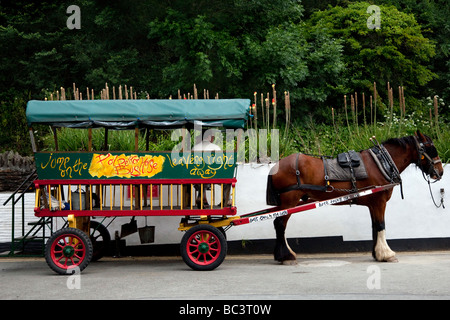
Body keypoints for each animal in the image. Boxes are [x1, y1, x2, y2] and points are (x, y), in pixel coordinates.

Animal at [266, 131, 444, 264]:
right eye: (431, 148)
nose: (440, 172)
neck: (381, 163)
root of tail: (276, 166)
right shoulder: (379, 201)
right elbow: (381, 225)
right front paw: (386, 254)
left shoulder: (373, 203)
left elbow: (375, 226)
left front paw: (377, 254)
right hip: (290, 200)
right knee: (280, 223)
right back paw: (286, 256)